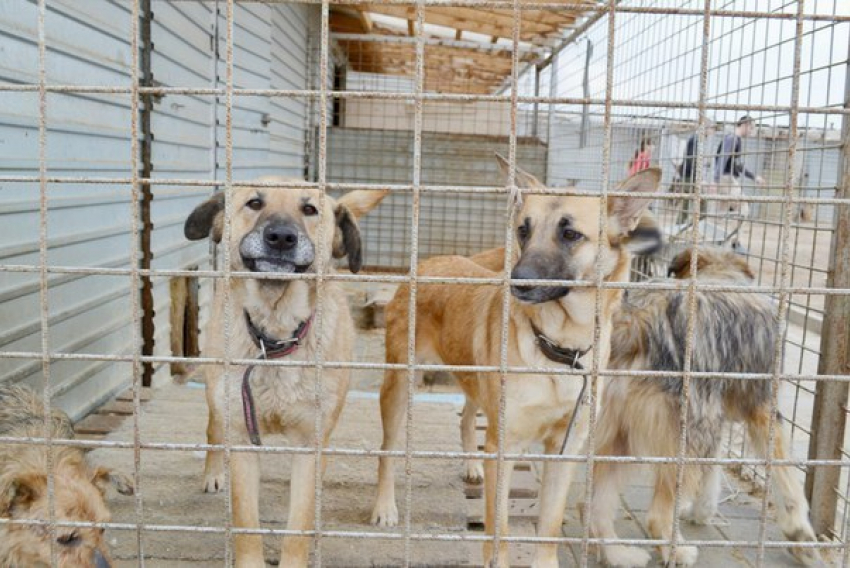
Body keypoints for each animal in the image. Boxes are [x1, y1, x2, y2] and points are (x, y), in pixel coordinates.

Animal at [186, 181, 388, 568]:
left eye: (310, 209)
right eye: (254, 202)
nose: (281, 237)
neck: (276, 335)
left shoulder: (310, 445)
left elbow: (298, 526)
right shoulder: (241, 436)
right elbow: (246, 524)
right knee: (211, 428)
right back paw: (213, 473)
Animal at [588, 247, 820, 568]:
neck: (722, 275)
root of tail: (635, 322)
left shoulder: (714, 418)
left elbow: (713, 472)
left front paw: (702, 510)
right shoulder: (762, 409)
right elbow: (786, 477)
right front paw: (801, 535)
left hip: (621, 436)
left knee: (596, 509)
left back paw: (619, 554)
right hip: (682, 434)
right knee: (656, 516)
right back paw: (676, 551)